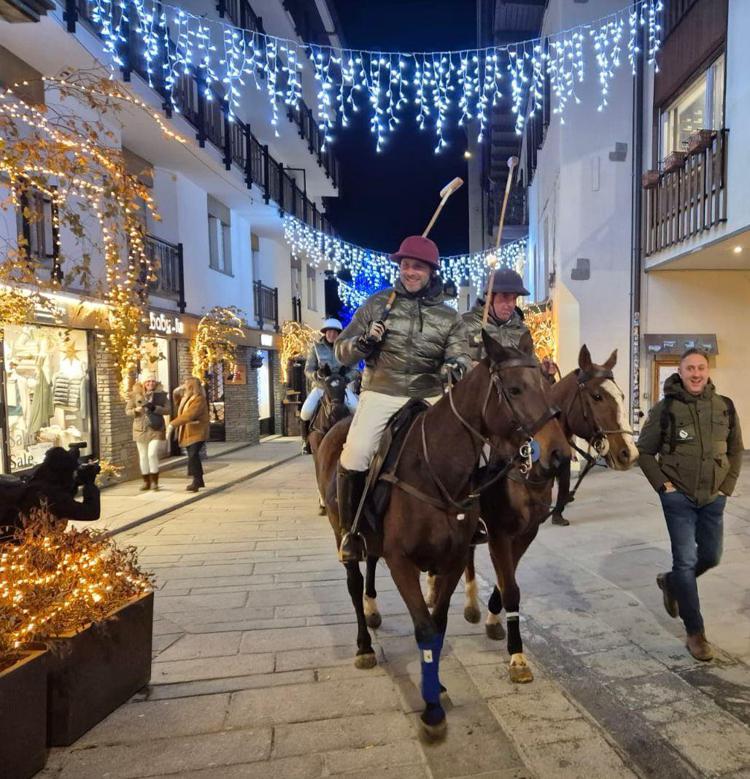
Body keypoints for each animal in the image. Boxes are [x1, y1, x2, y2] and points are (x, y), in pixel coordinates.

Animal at [316, 332, 568, 740]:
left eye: (548, 385)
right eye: (514, 389)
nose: (559, 454)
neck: (433, 467)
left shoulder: (456, 558)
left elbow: (439, 625)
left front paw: (437, 687)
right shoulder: (404, 562)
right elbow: (423, 628)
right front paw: (432, 709)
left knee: (370, 566)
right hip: (342, 529)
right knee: (354, 582)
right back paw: (364, 646)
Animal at [452, 346, 640, 684]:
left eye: (621, 394)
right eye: (596, 396)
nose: (628, 453)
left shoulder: (526, 533)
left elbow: (506, 581)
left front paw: (494, 620)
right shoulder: (498, 533)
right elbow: (510, 587)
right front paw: (517, 657)